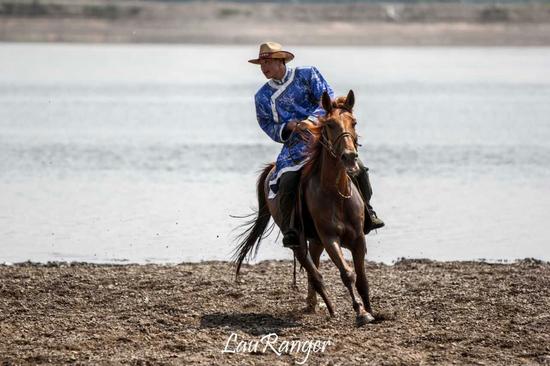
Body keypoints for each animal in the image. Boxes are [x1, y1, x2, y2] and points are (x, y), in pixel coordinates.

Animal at [235, 90, 378, 324]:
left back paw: (313, 303)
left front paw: (371, 311)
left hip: (316, 240)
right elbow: (347, 273)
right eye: (330, 124)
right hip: (299, 241)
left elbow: (362, 279)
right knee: (315, 273)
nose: (349, 157)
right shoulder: (330, 238)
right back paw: (328, 308)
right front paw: (361, 312)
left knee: (315, 267)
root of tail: (271, 169)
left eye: (354, 122)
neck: (336, 192)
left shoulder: (358, 238)